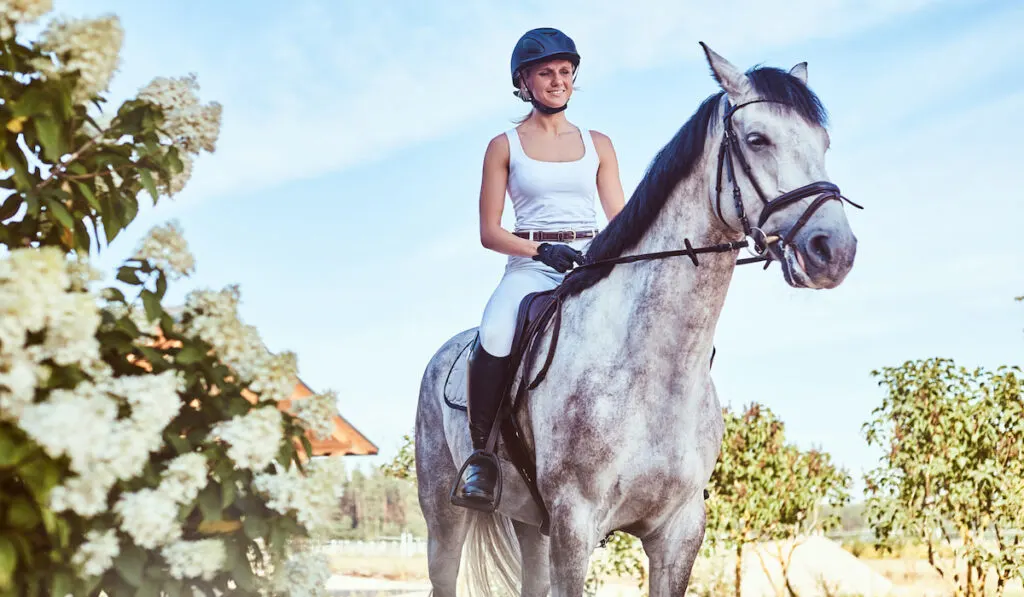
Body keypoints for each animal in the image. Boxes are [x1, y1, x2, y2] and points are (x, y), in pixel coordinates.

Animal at [411, 43, 860, 597]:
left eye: (824, 142)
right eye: (757, 139)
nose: (834, 251)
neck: (653, 368)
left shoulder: (679, 531)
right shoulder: (574, 525)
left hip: (529, 524)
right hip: (443, 516)